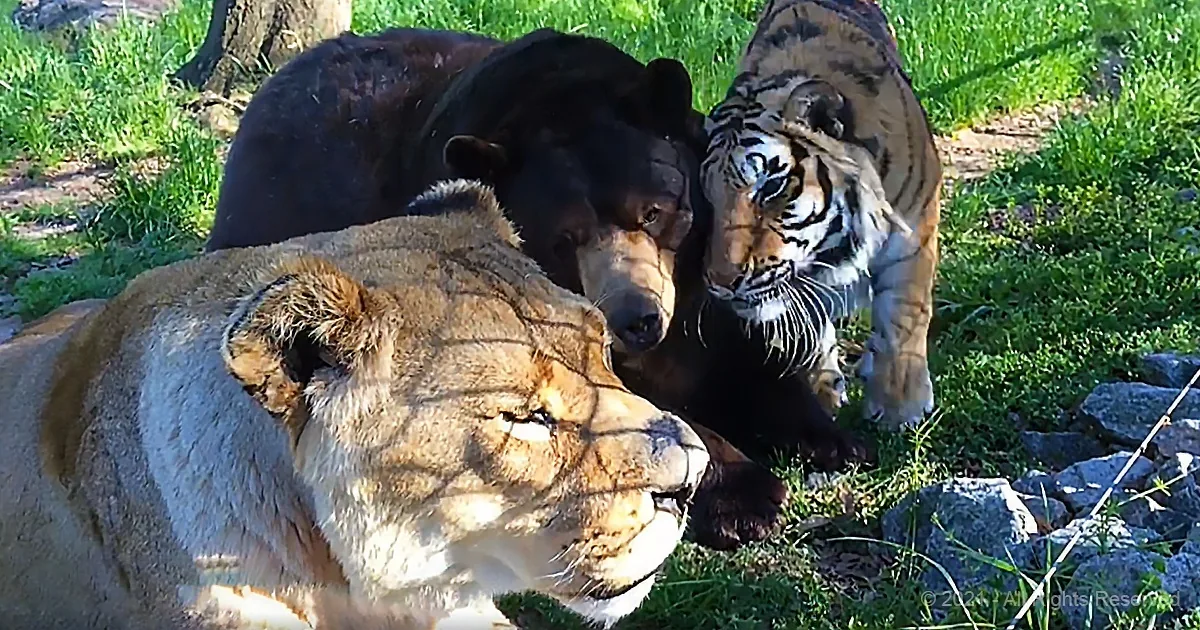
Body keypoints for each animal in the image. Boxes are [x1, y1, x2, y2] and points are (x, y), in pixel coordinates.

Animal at [699, 0, 943, 430]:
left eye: (770, 188)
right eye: (708, 197)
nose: (721, 285)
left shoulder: (915, 227)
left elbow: (904, 314)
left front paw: (900, 407)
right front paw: (823, 394)